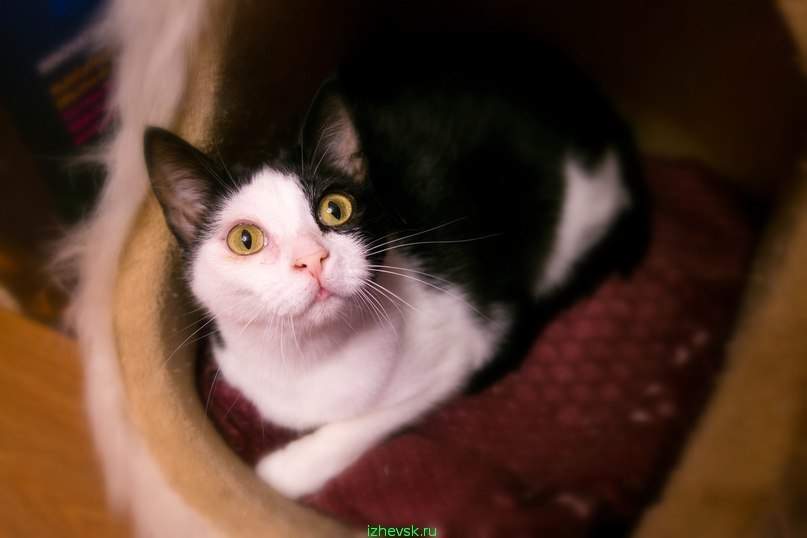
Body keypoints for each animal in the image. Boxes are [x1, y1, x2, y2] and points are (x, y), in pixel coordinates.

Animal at [143, 35, 646, 499]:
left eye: (336, 209)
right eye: (245, 239)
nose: (312, 258)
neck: (309, 359)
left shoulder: (461, 346)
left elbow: (367, 421)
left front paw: (282, 472)